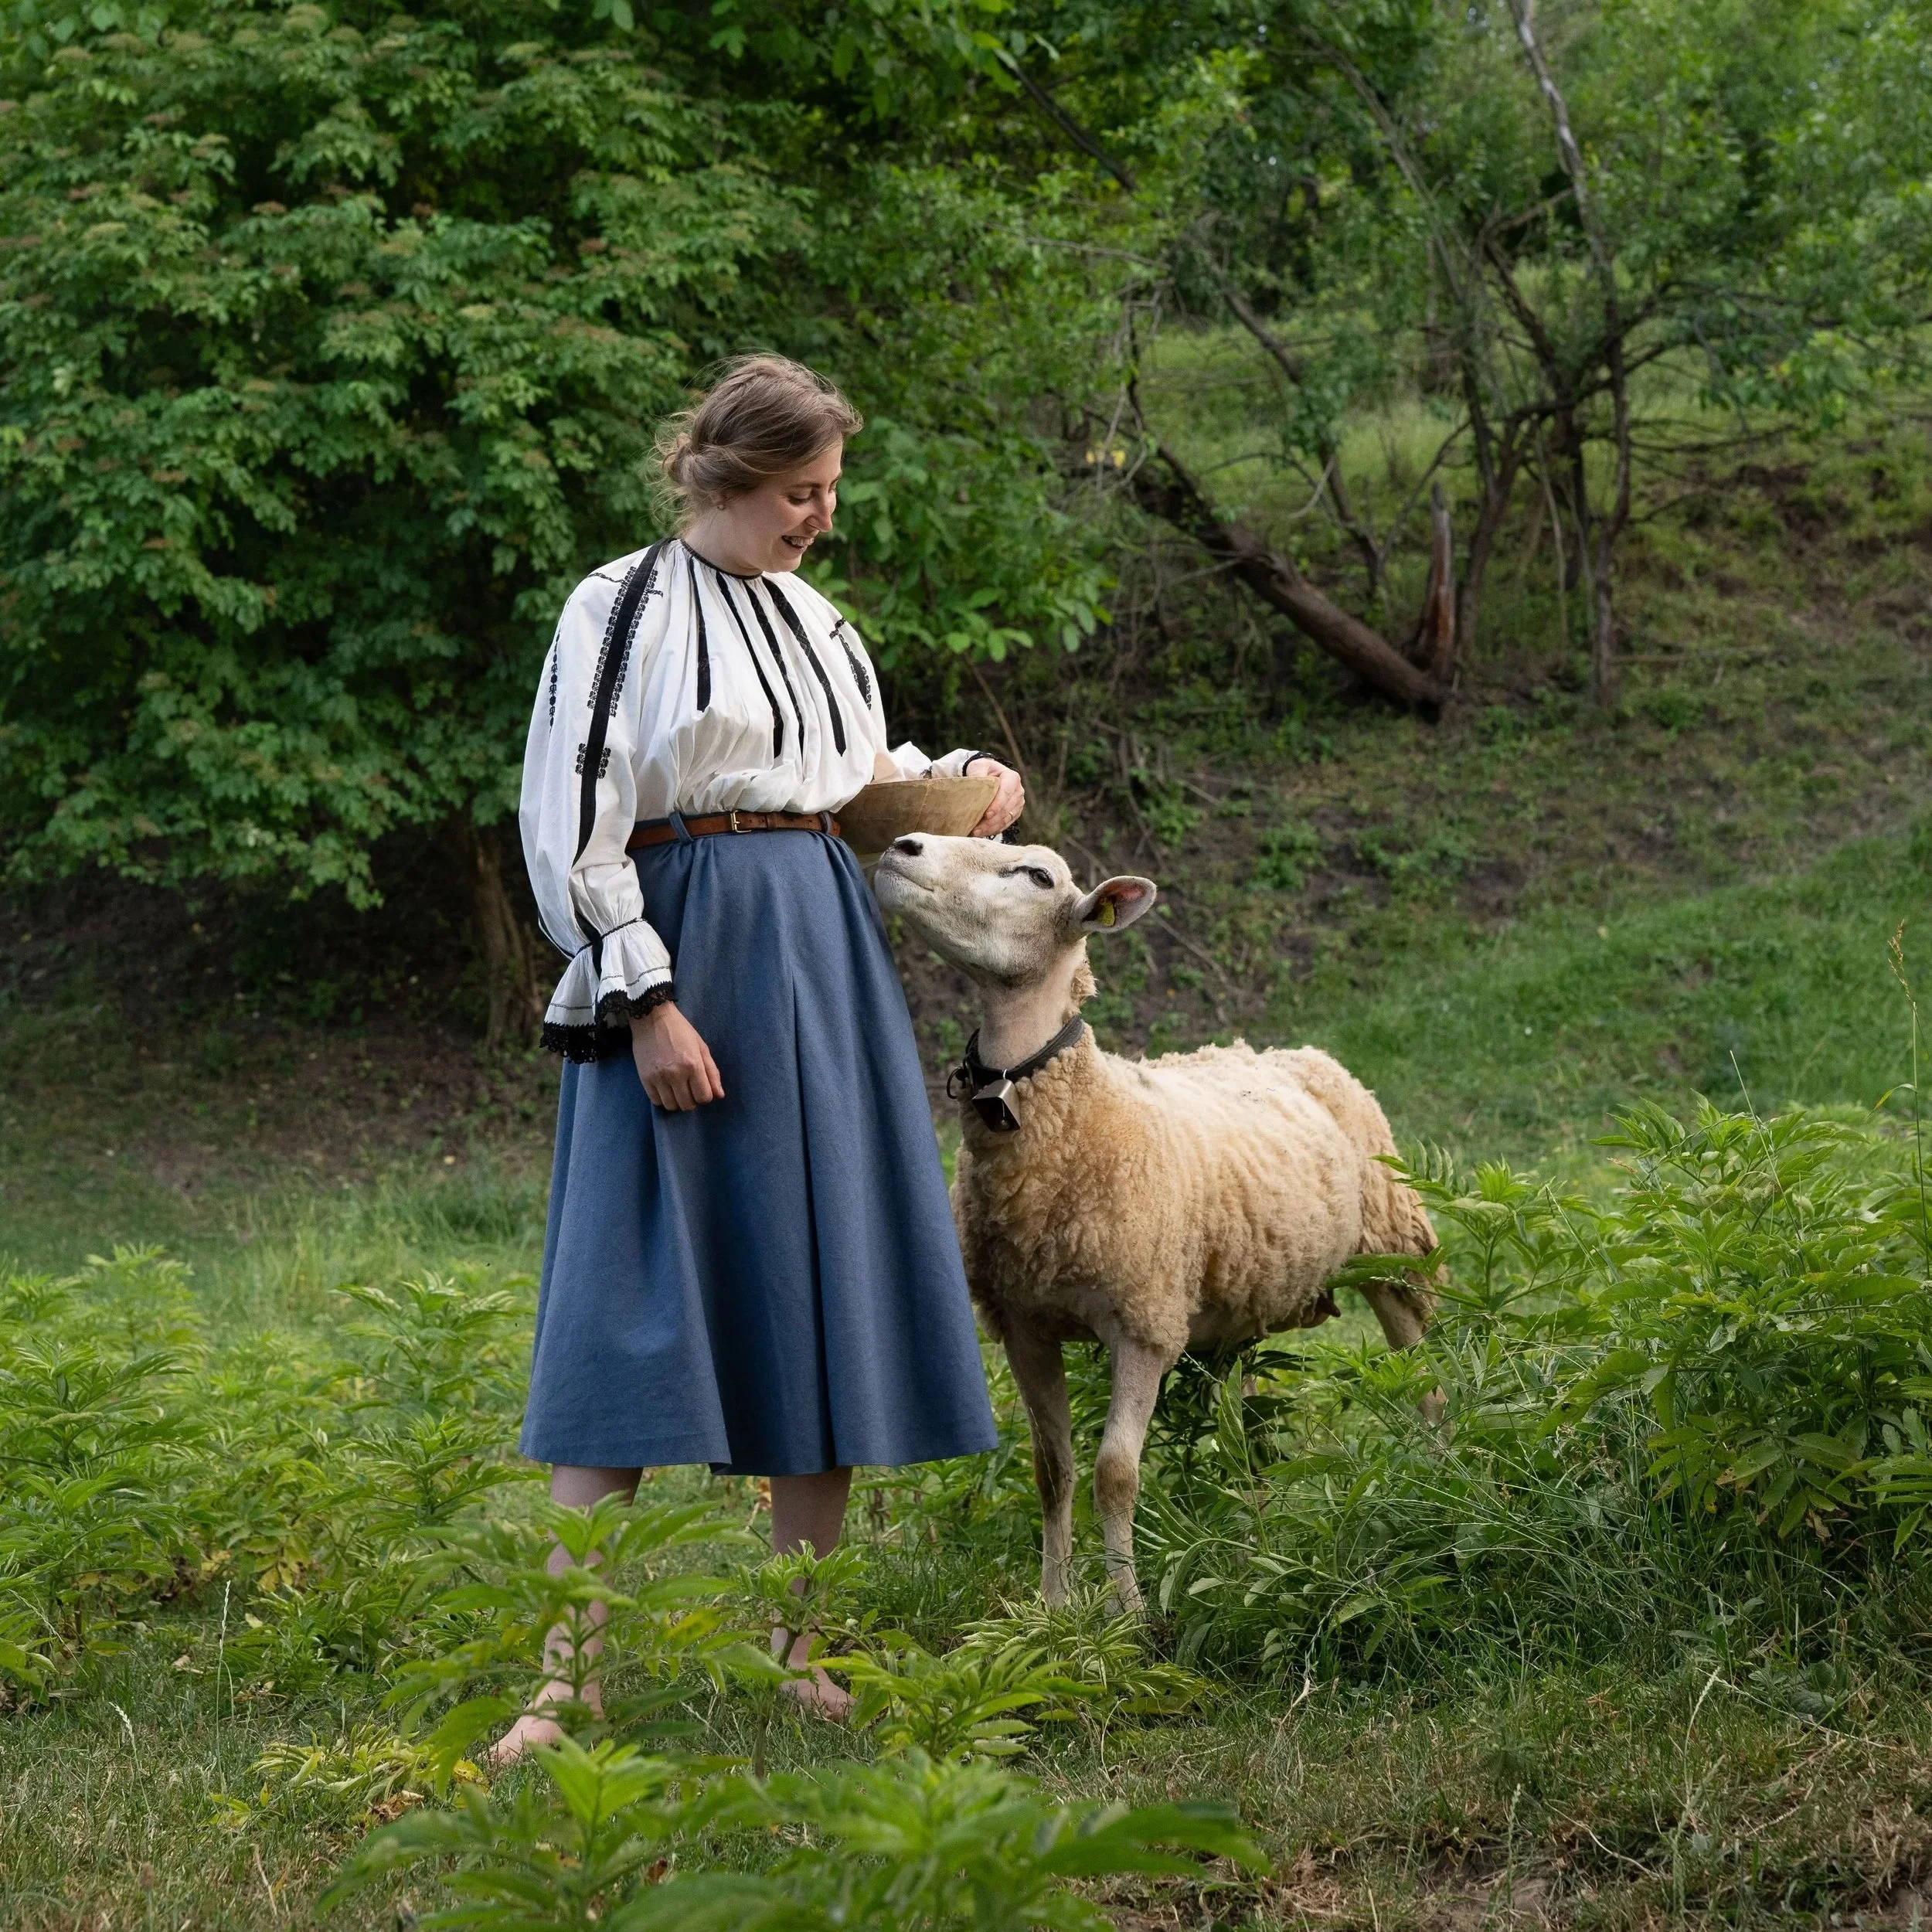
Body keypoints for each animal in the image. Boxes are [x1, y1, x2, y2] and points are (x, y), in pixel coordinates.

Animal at [872, 831, 1437, 1613]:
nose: (903, 845)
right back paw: (1255, 1539)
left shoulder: (1143, 1324)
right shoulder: (1023, 1326)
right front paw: (1054, 1606)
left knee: (1429, 1387)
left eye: (1035, 875)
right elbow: (1053, 1469)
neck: (1074, 1111)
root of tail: (1300, 1052)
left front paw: (1129, 1613)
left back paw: (1449, 1477)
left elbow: (1115, 1475)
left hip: (1395, 1251)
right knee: (1243, 1427)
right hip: (1236, 1305)